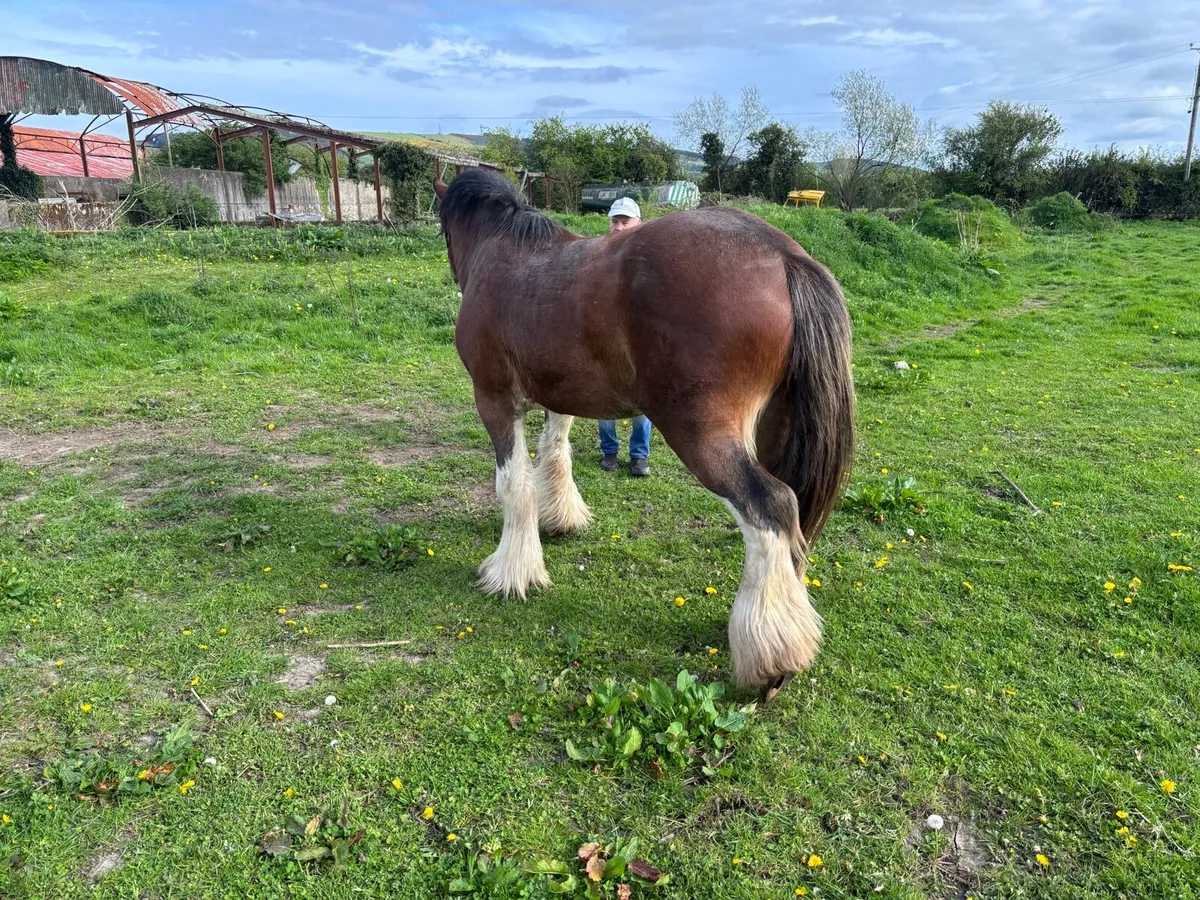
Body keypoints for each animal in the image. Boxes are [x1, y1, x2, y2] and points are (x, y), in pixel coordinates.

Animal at [434, 169, 855, 700]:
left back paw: (772, 656)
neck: (505, 252)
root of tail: (784, 255)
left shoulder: (493, 400)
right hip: (776, 430)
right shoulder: (559, 398)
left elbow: (514, 484)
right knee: (796, 513)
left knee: (772, 508)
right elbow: (554, 453)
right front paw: (559, 519)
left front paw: (511, 573)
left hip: (701, 434)